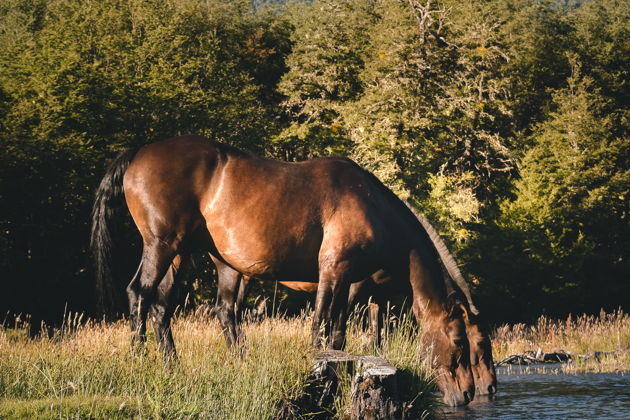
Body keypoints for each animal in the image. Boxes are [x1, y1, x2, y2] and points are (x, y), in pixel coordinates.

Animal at [92, 134, 478, 404]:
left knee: (177, 306)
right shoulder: (333, 271)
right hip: (163, 244)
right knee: (140, 294)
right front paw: (319, 374)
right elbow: (320, 327)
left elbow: (338, 334)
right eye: (459, 340)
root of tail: (139, 152)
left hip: (191, 257)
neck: (372, 205)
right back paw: (140, 361)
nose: (469, 394)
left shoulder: (348, 281)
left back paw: (179, 365)